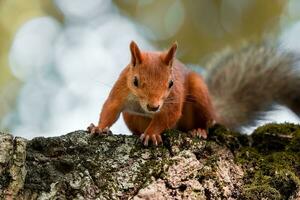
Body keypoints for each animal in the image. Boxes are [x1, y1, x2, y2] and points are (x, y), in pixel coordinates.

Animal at [86, 41, 300, 146]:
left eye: (171, 83)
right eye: (135, 81)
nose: (153, 107)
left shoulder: (172, 101)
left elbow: (168, 115)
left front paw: (152, 134)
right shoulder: (121, 90)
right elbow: (110, 108)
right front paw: (99, 128)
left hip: (200, 95)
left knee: (206, 122)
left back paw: (198, 131)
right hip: (131, 117)